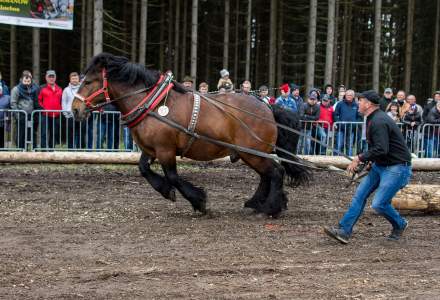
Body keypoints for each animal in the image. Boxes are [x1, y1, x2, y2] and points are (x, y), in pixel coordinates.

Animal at [72, 52, 310, 217]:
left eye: (88, 81)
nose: (75, 109)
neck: (151, 104)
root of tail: (267, 106)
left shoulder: (165, 150)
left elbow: (173, 176)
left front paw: (198, 200)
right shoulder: (151, 148)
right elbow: (143, 169)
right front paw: (166, 191)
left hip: (253, 152)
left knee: (276, 172)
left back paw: (271, 208)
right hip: (249, 152)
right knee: (267, 175)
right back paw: (258, 203)